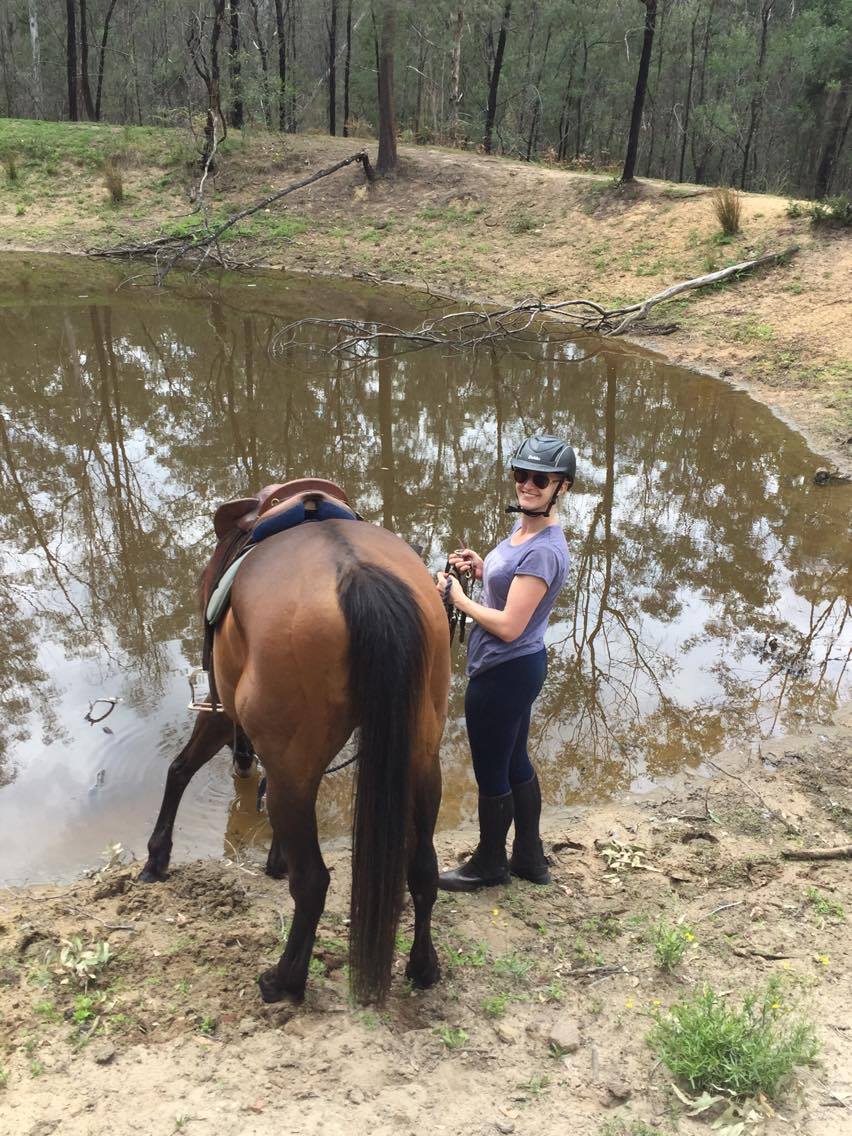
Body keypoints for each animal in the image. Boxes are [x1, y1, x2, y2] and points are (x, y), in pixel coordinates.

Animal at [138, 483, 454, 1008]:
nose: (243, 763)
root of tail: (357, 574)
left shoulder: (223, 709)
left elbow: (178, 769)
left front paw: (156, 858)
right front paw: (274, 858)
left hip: (293, 772)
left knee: (314, 883)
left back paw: (284, 980)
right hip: (422, 761)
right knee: (423, 870)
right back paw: (423, 966)